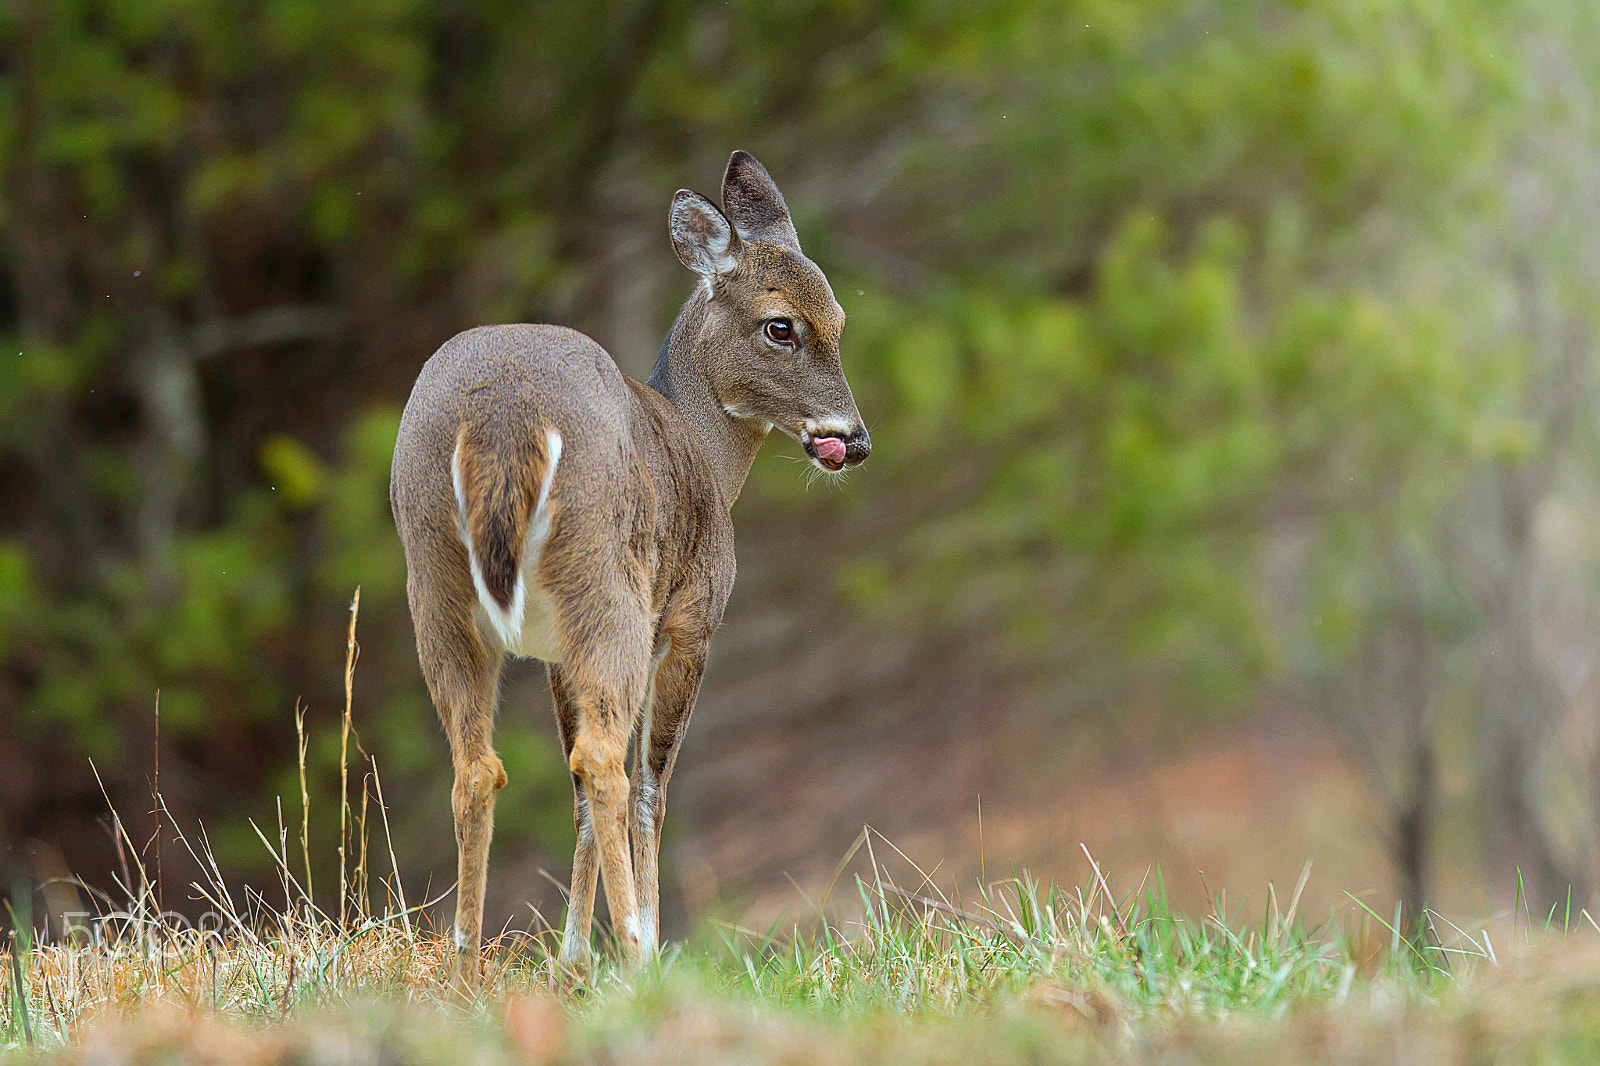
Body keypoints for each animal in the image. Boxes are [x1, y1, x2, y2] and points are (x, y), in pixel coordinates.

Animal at [387, 149, 870, 979]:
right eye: (782, 326)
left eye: (840, 320)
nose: (854, 438)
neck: (704, 448)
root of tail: (503, 414)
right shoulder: (687, 621)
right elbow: (652, 785)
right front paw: (625, 942)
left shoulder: (554, 649)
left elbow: (575, 790)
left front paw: (574, 957)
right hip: (603, 577)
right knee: (609, 762)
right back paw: (638, 956)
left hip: (441, 587)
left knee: (482, 766)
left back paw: (463, 963)